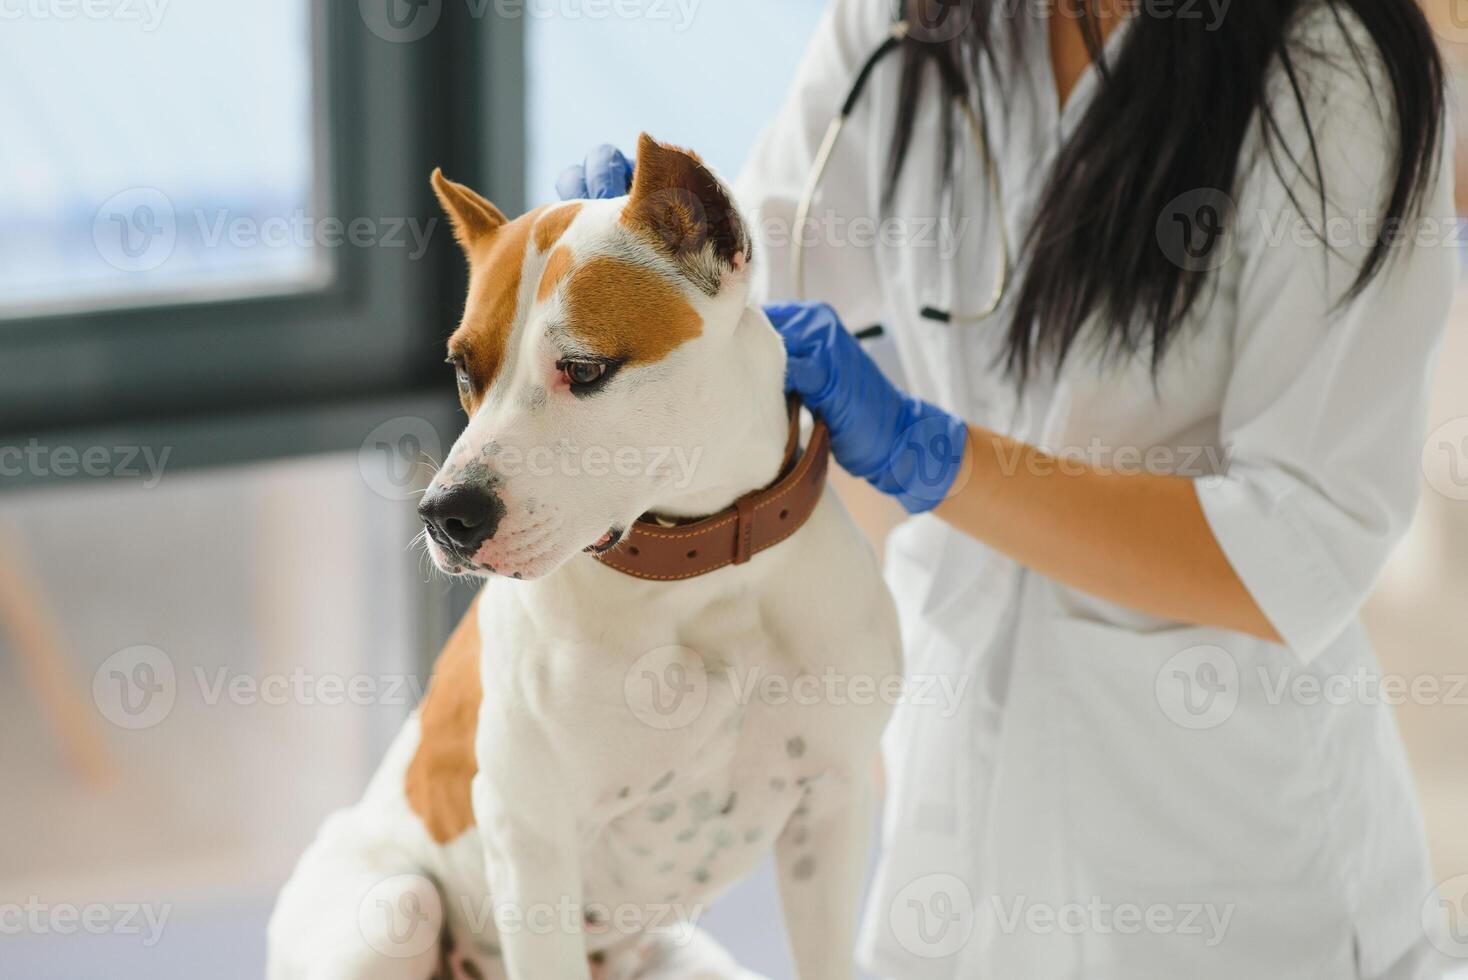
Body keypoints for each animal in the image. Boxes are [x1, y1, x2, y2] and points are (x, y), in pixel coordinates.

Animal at [268, 132, 898, 979]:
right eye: (463, 370)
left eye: (586, 369)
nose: (445, 515)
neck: (703, 573)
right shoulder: (532, 843)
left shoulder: (828, 812)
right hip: (396, 906)